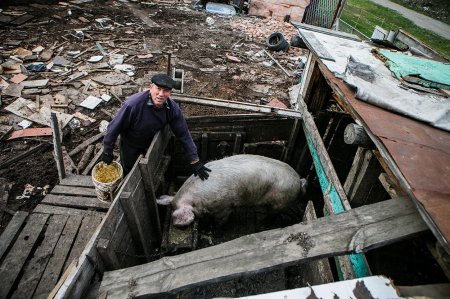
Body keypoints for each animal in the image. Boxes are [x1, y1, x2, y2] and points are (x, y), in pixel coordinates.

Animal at [156, 155, 308, 227]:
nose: (175, 224)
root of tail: (298, 180)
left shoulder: (224, 206)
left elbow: (221, 221)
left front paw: (214, 227)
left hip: (280, 201)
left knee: (273, 215)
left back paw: (262, 223)